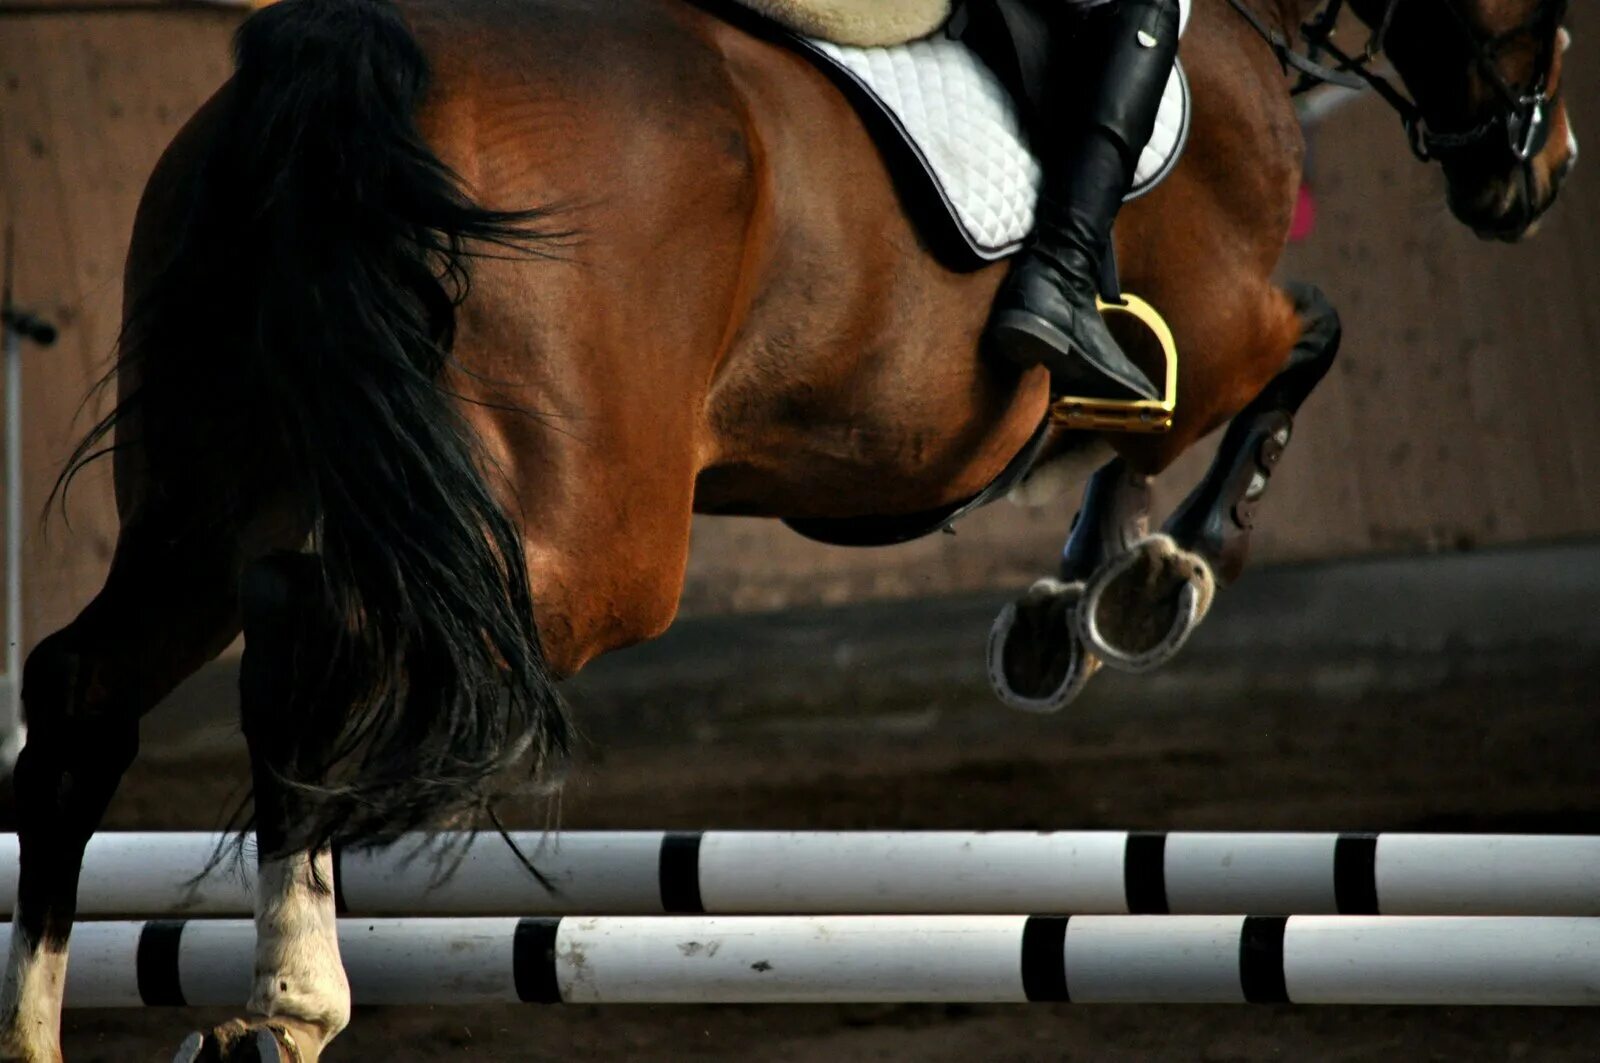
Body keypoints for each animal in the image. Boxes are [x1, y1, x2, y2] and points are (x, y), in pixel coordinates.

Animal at [0, 0, 1574, 1056]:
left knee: (88, 681)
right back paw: (291, 1000)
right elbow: (1306, 336)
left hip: (219, 480)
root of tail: (345, 49)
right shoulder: (1226, 314)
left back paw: (51, 1024)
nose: (1536, 172)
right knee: (322, 623)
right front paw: (1153, 578)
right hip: (576, 539)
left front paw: (1078, 599)